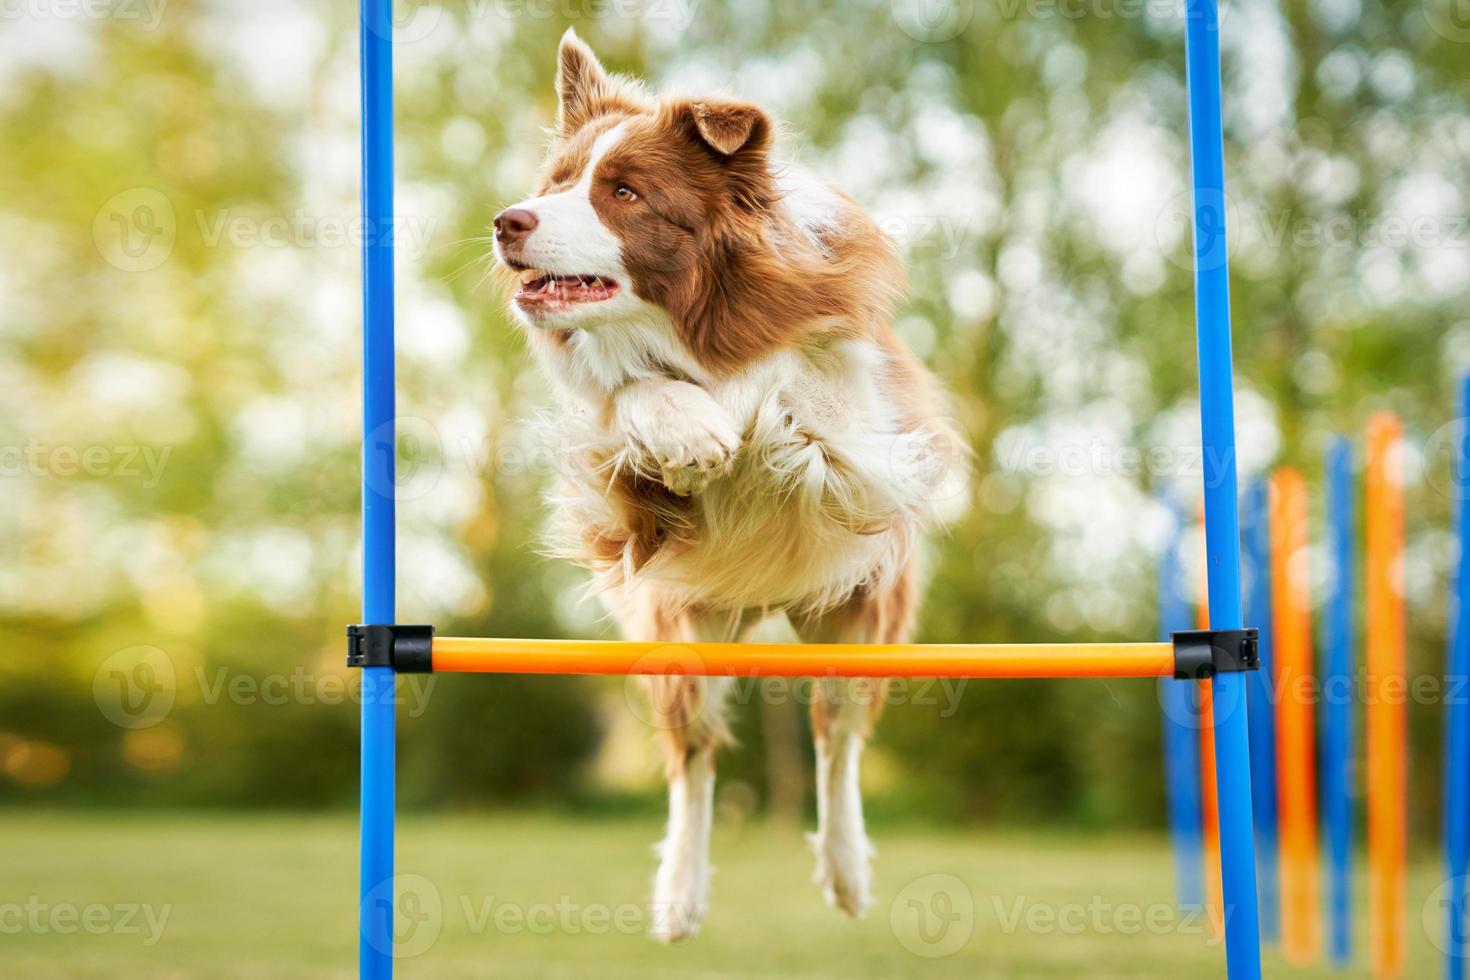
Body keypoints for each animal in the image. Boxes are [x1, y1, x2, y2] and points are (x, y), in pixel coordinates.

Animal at [488, 32, 958, 940]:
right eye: (556, 184)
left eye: (624, 192)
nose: (507, 222)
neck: (692, 324)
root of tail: (765, 606)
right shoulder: (625, 501)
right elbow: (634, 398)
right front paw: (687, 430)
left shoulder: (866, 430)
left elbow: (794, 401)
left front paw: (739, 416)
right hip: (679, 629)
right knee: (696, 761)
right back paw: (680, 894)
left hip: (862, 615)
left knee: (836, 737)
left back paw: (846, 871)